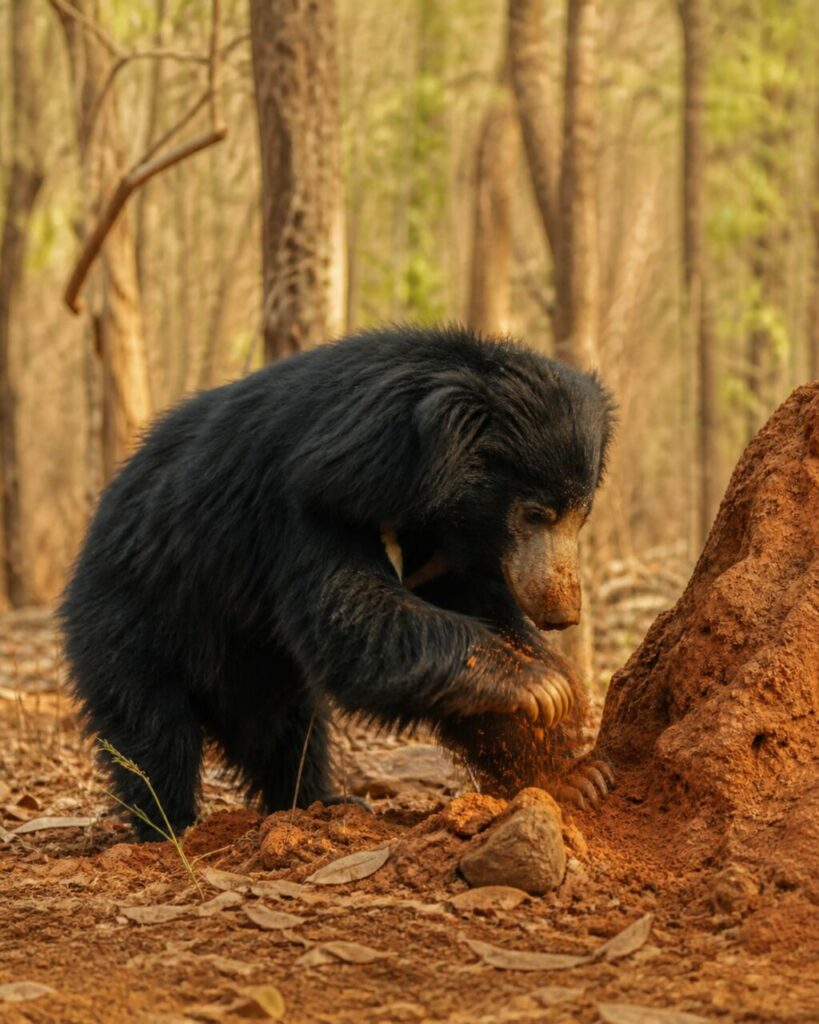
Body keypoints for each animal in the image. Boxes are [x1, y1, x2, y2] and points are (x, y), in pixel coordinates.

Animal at [60, 325, 615, 840]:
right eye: (534, 514)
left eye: (580, 517)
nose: (562, 615)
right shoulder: (306, 501)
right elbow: (351, 615)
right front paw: (543, 685)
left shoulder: (441, 548)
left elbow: (467, 611)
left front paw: (573, 769)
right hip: (131, 621)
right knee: (153, 732)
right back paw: (172, 828)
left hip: (252, 667)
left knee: (285, 730)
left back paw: (318, 802)